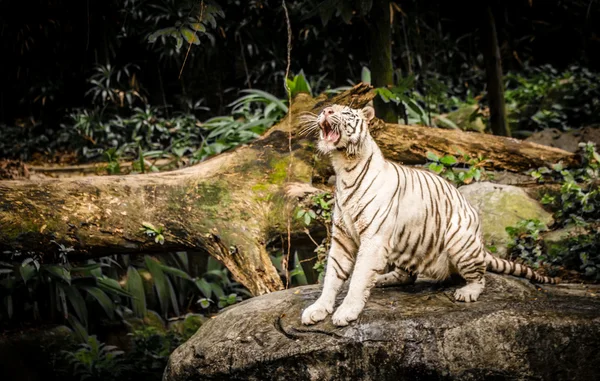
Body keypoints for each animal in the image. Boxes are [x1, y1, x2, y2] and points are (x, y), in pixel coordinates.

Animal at [298, 104, 556, 326]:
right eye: (329, 108)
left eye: (346, 112)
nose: (326, 111)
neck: (345, 166)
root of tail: (480, 245)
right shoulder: (342, 236)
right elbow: (332, 275)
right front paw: (317, 308)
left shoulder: (373, 239)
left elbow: (359, 277)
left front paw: (346, 311)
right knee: (407, 275)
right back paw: (382, 278)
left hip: (460, 240)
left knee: (480, 277)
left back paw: (467, 292)